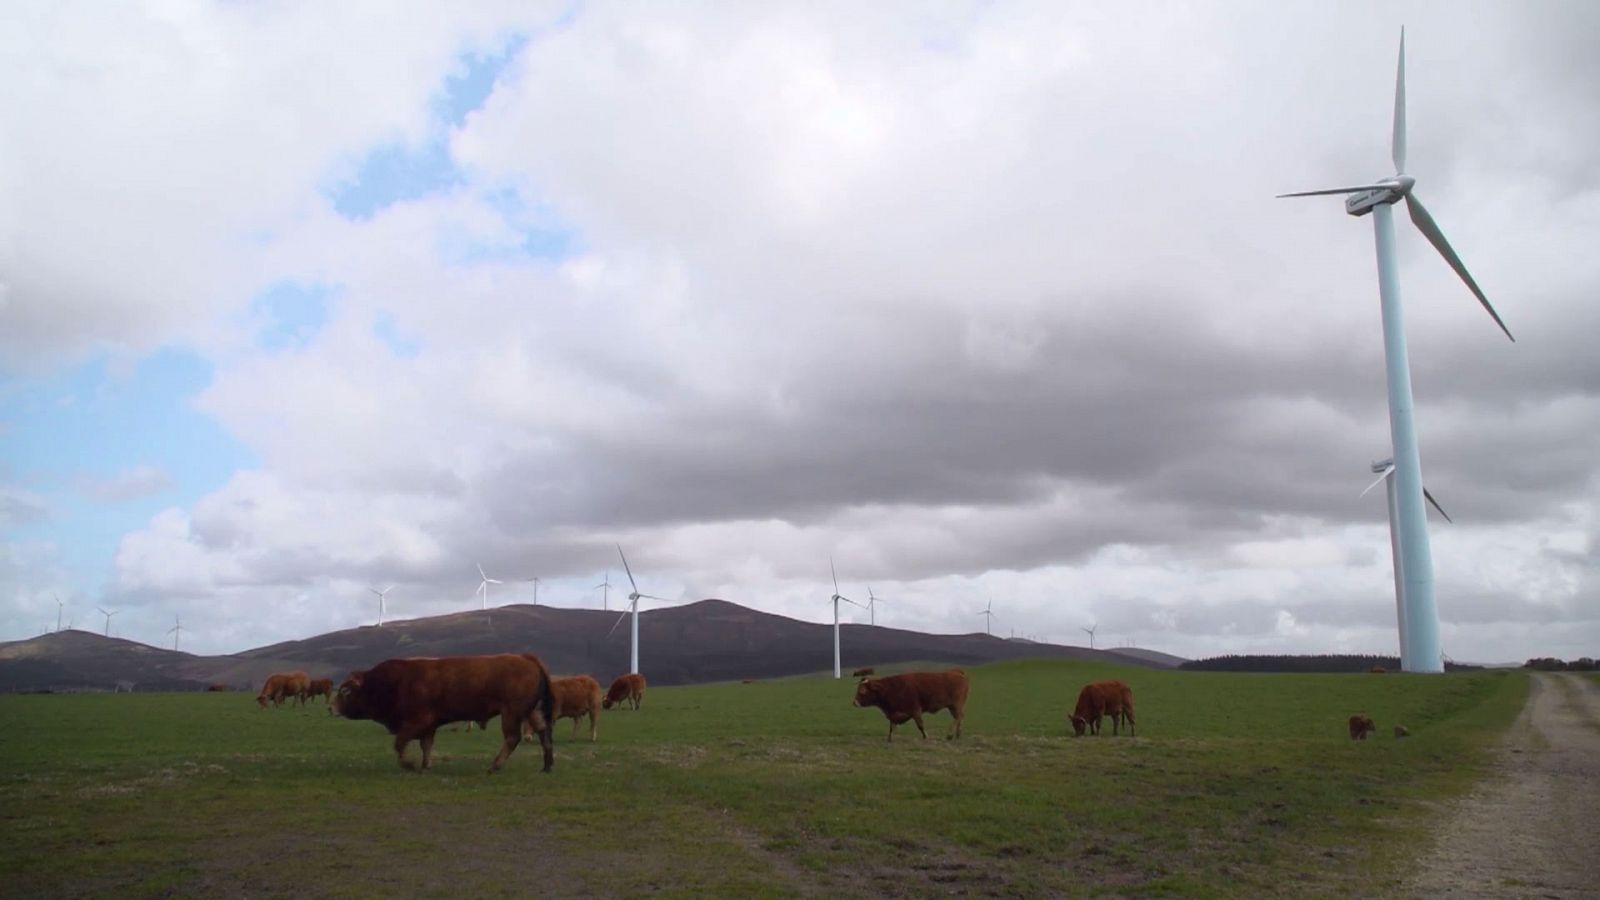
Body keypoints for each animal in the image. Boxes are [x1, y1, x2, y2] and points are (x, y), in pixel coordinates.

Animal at [331, 650, 556, 771]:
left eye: (345, 690)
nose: (331, 707)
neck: (396, 681)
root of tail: (526, 657)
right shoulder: (429, 726)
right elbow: (426, 745)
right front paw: (425, 765)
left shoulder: (417, 721)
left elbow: (400, 743)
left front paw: (409, 765)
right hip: (532, 711)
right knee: (544, 733)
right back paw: (546, 766)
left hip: (511, 712)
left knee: (512, 738)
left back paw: (494, 766)